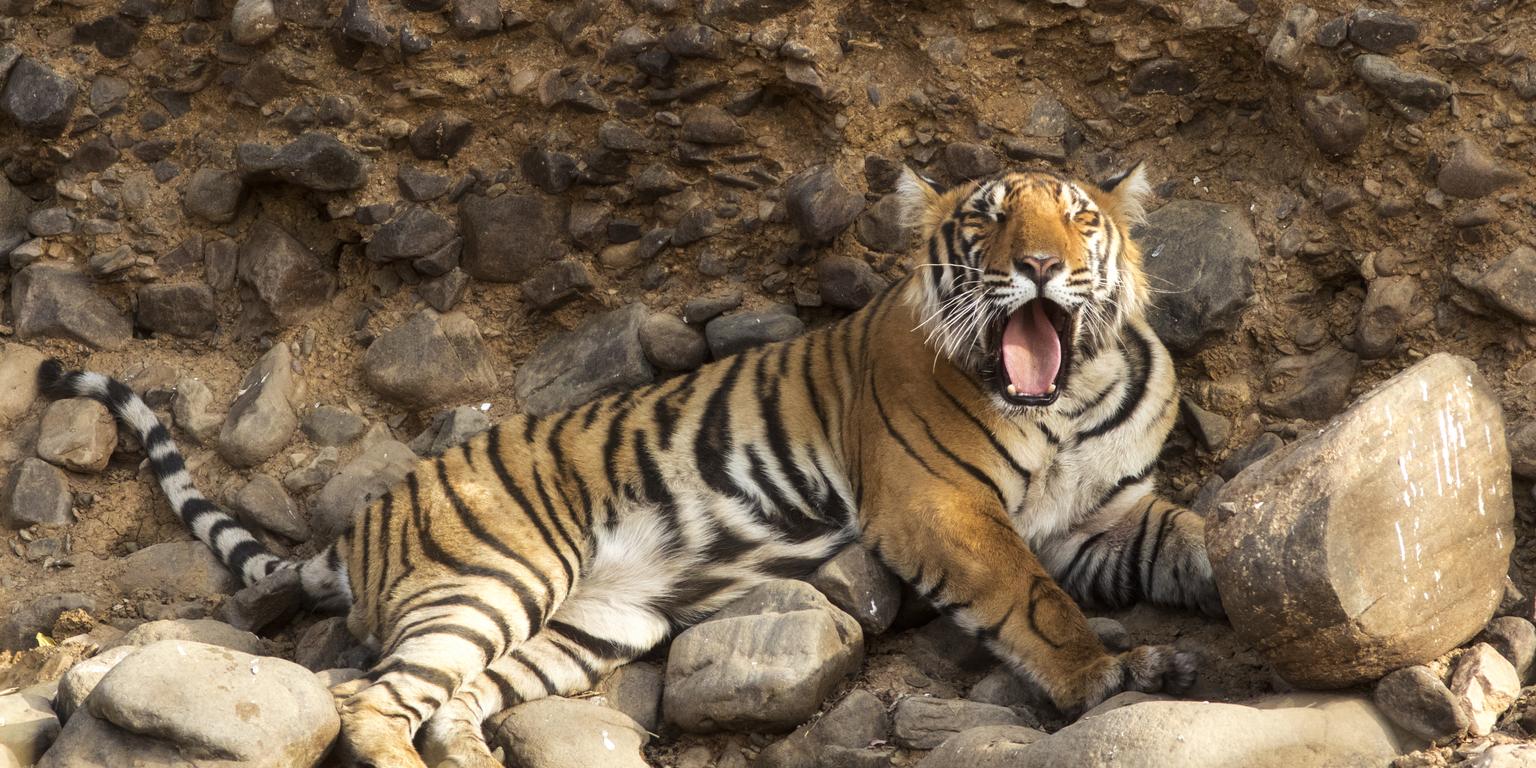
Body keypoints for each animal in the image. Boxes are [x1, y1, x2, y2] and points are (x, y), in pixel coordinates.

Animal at [39, 162, 1222, 768]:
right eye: (988, 220)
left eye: (1079, 219)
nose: (1042, 267)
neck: (1067, 398)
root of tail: (360, 522)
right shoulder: (945, 511)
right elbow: (1032, 604)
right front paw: (1104, 679)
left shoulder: (1104, 522)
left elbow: (1193, 539)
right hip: (493, 578)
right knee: (374, 705)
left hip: (593, 623)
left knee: (456, 701)